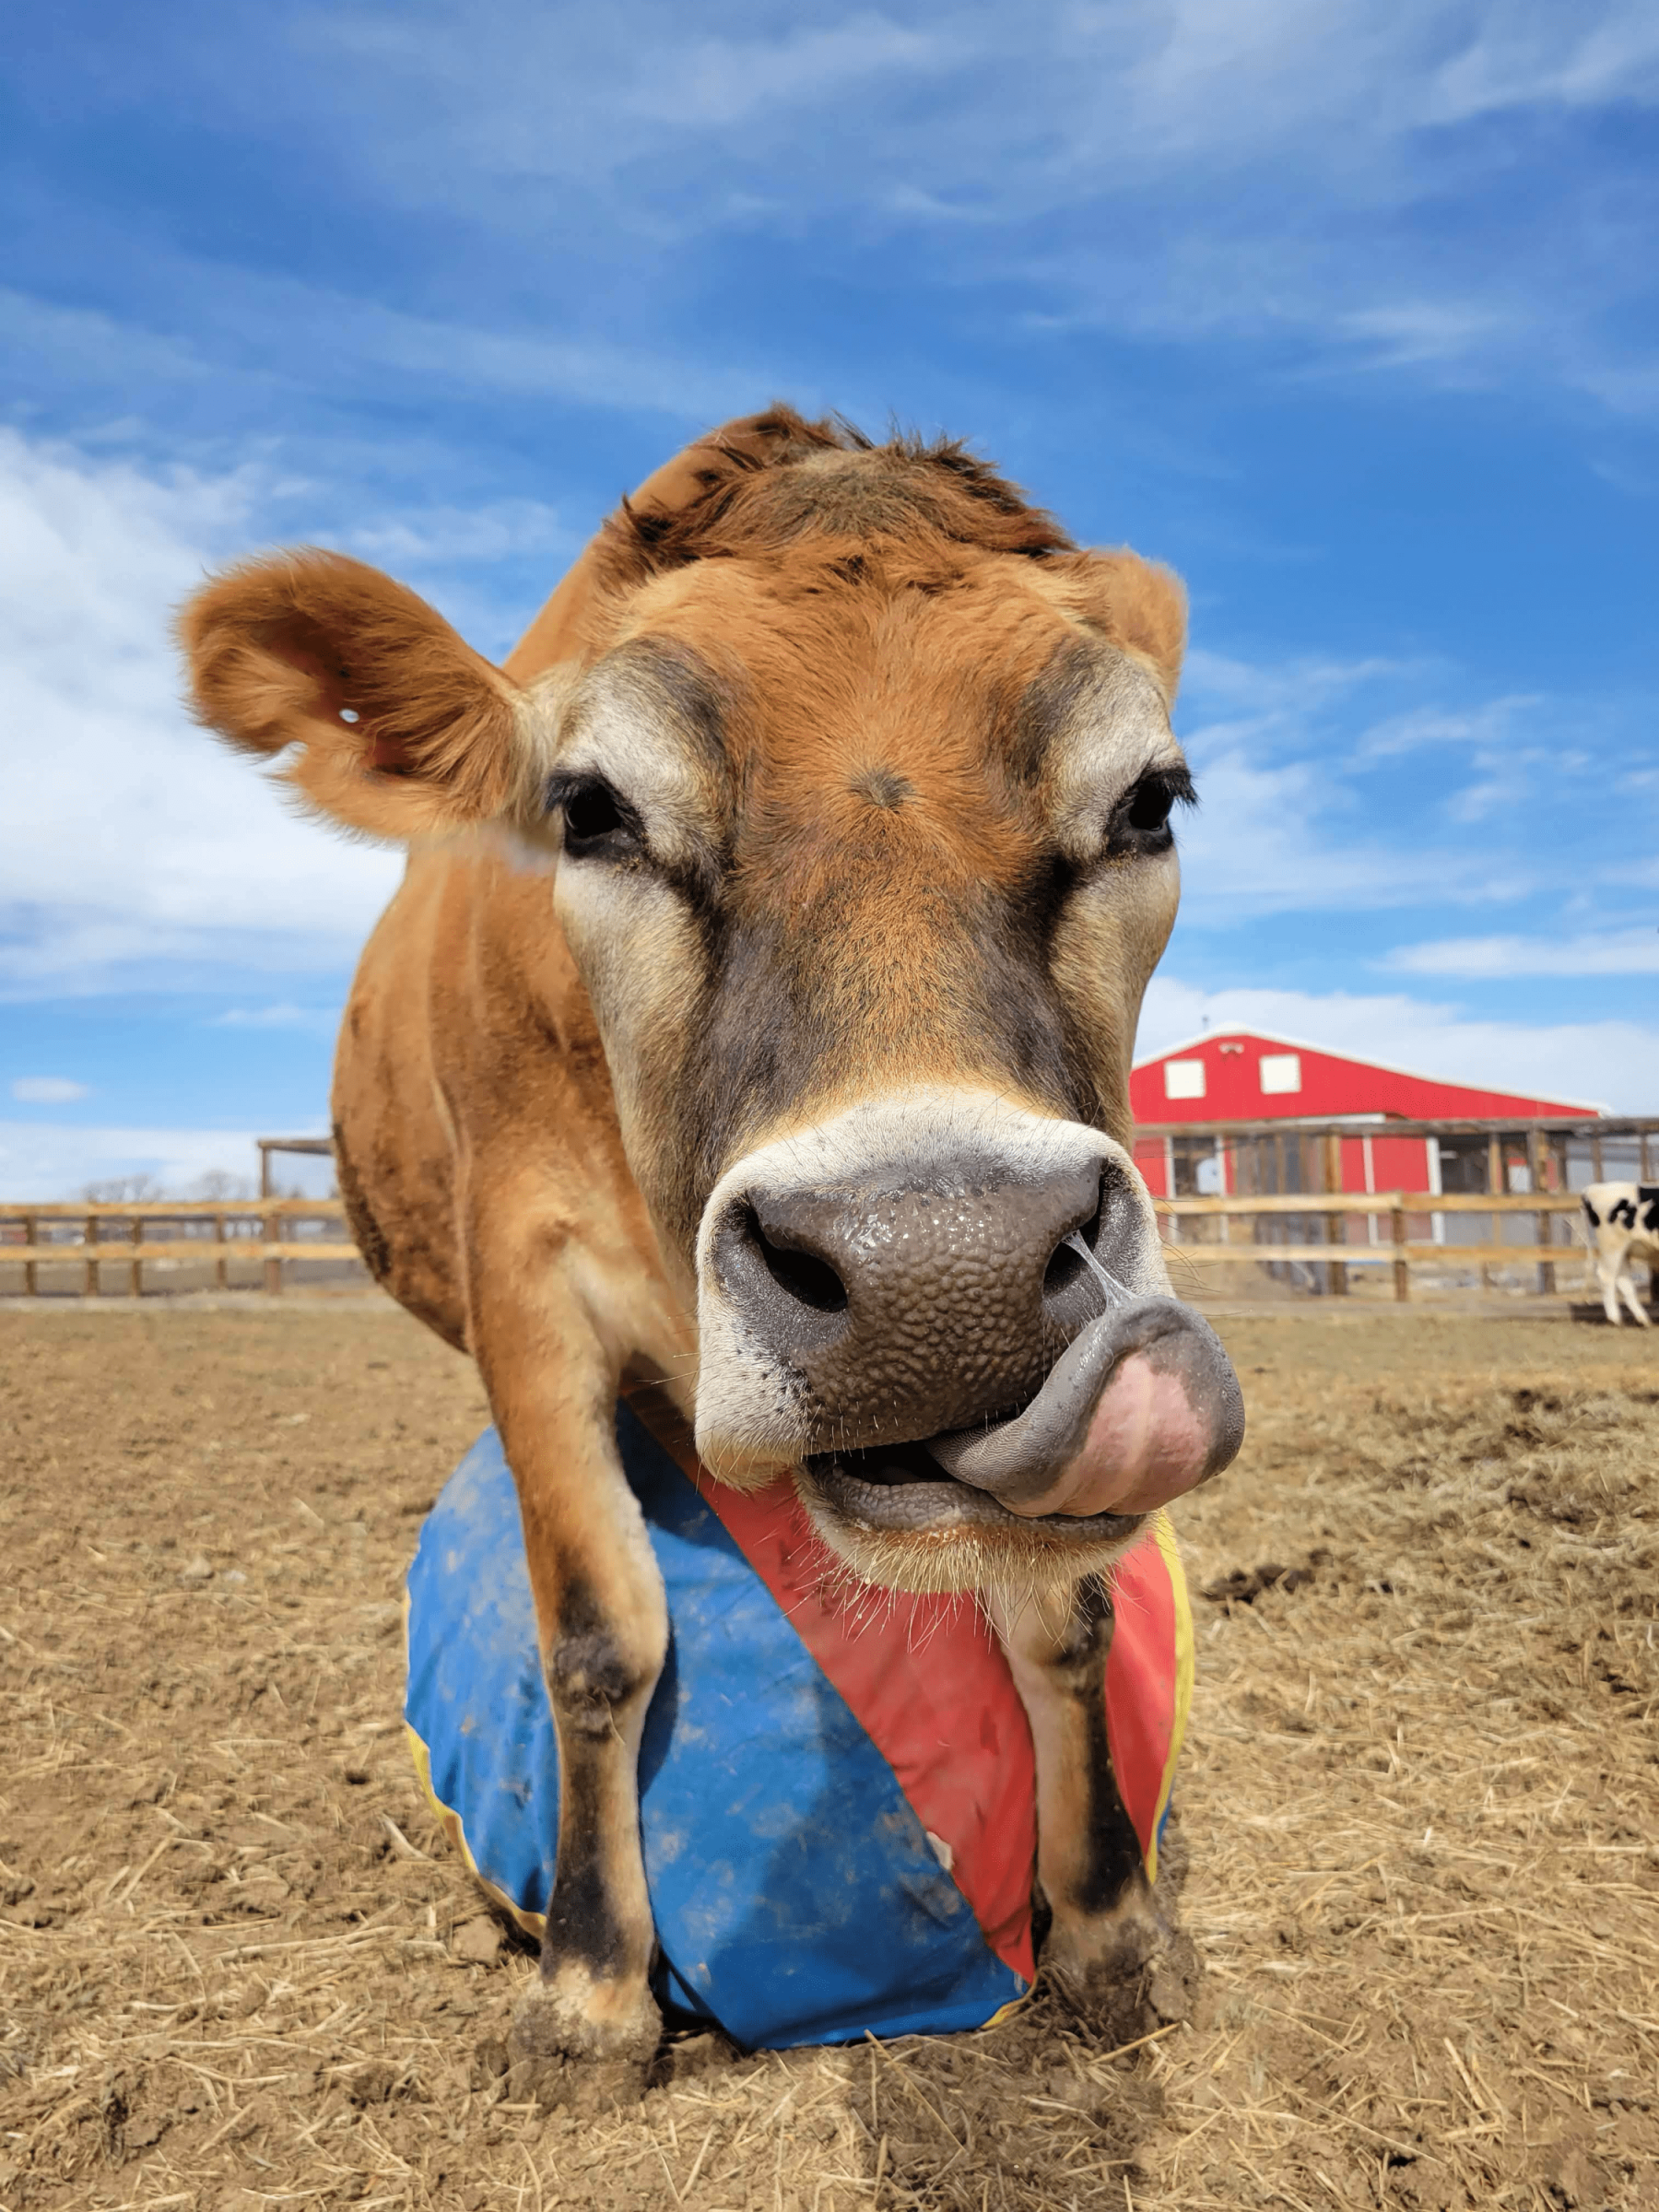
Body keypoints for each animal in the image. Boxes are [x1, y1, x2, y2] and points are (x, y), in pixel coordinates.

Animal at [179, 408, 1246, 2089]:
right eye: (589, 809)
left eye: (1150, 799)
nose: (943, 1274)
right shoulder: (520, 1275)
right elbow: (598, 1630)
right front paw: (589, 1991)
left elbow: (1069, 1609)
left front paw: (1113, 1925)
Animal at [1582, 1182, 1659, 1326]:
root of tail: (1594, 1188)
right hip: (1612, 1246)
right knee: (1606, 1276)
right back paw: (1615, 1318)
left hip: (1624, 1251)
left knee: (1624, 1281)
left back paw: (1643, 1319)